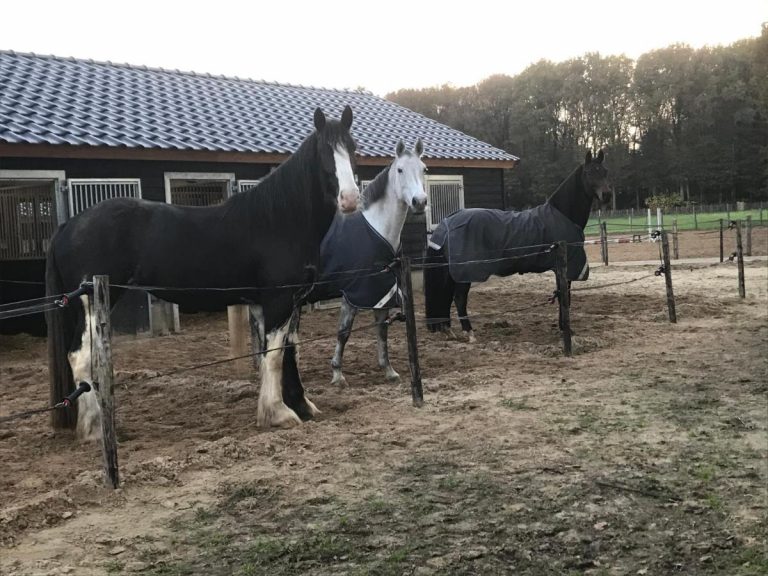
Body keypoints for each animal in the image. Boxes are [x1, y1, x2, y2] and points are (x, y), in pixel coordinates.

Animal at [47, 106, 360, 438]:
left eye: (352, 148)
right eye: (324, 153)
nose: (350, 199)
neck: (279, 219)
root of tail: (69, 225)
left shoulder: (282, 302)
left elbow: (286, 352)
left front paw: (300, 406)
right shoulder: (278, 300)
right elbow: (275, 357)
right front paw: (279, 414)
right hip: (92, 302)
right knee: (80, 358)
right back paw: (95, 429)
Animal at [424, 148, 608, 342]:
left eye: (605, 172)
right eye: (589, 172)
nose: (607, 195)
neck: (563, 214)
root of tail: (448, 220)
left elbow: (561, 294)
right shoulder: (564, 268)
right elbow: (565, 297)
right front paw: (566, 330)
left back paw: (448, 330)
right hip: (465, 271)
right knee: (459, 298)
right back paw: (469, 333)